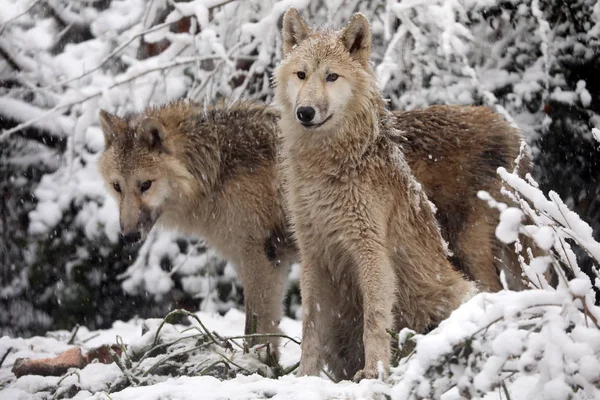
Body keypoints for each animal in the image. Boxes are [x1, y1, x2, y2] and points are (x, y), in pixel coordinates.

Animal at [276, 9, 482, 382]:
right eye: (301, 75)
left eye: (332, 76)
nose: (305, 112)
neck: (327, 169)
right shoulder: (313, 254)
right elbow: (310, 324)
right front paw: (304, 378)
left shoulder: (370, 251)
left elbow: (374, 317)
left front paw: (374, 371)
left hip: (455, 293)